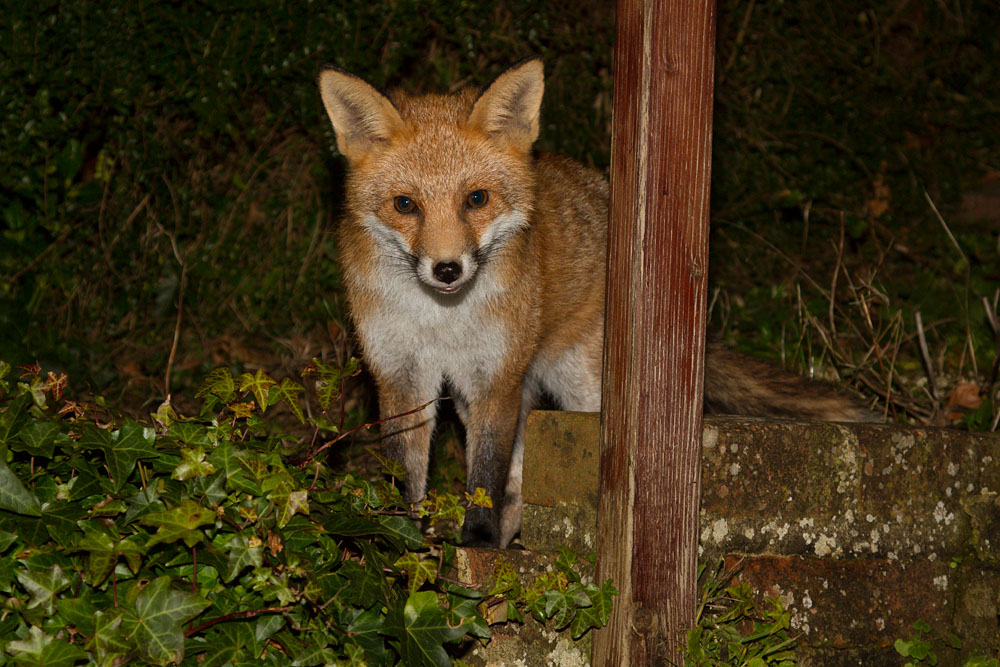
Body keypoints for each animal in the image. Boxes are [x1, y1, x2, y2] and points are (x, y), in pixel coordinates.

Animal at [317, 58, 876, 548]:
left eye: (476, 199)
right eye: (405, 205)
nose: (448, 269)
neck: (440, 321)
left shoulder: (495, 377)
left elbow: (486, 475)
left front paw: (475, 542)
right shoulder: (401, 375)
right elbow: (402, 473)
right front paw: (398, 543)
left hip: (581, 388)